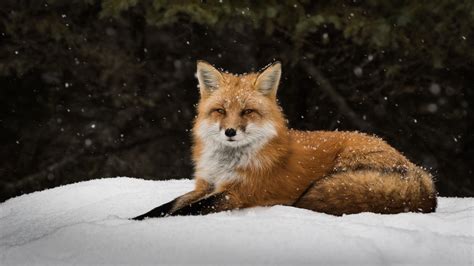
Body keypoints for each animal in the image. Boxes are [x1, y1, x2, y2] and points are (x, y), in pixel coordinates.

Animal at [132, 61, 436, 219]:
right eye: (220, 111)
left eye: (247, 112)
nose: (230, 132)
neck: (227, 164)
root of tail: (423, 179)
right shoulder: (205, 185)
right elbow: (165, 207)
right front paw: (132, 219)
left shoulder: (238, 194)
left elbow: (183, 211)